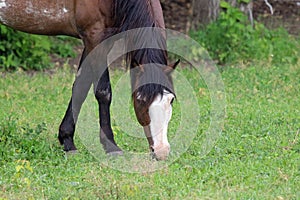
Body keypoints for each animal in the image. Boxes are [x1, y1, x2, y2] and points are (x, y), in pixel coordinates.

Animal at [0, 0, 178, 160]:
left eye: (171, 100)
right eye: (140, 100)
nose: (161, 151)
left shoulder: (93, 41)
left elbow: (81, 87)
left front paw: (67, 141)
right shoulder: (95, 37)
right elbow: (103, 92)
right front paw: (111, 147)